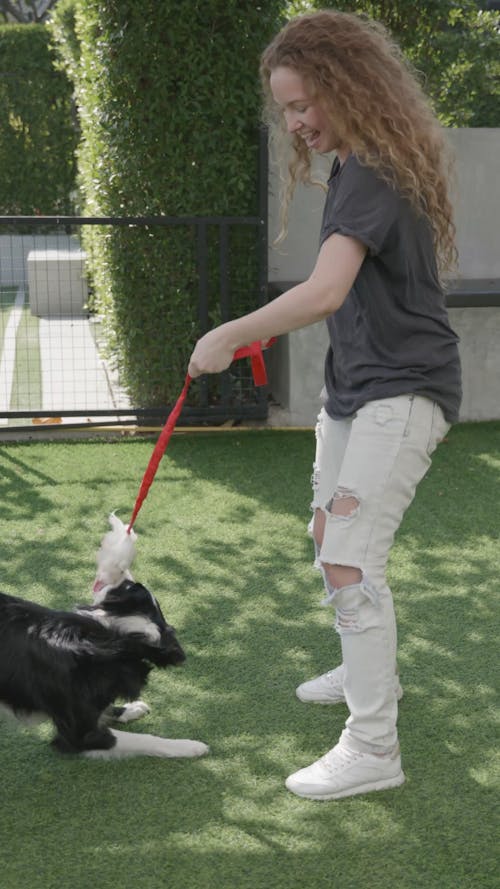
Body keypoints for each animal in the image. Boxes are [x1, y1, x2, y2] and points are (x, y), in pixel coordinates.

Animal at [0, 512, 209, 756]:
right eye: (132, 587)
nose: (122, 571)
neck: (112, 640)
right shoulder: (78, 735)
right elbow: (144, 739)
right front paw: (189, 746)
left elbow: (106, 711)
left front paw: (129, 709)